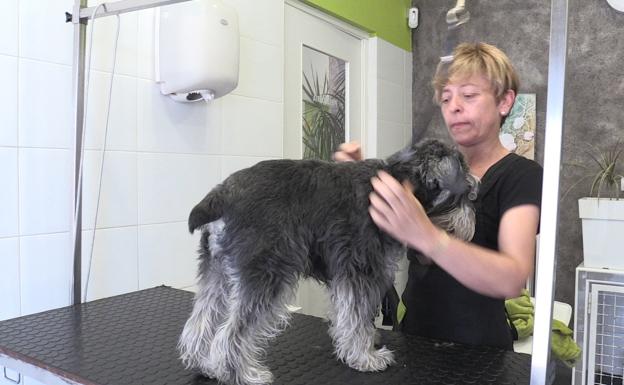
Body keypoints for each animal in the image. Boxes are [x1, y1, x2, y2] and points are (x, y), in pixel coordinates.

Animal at [178, 138, 480, 384]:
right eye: (466, 193)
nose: (470, 226)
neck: (398, 183)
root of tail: (222, 196)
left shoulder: (347, 275)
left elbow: (349, 316)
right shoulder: (361, 272)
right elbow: (357, 317)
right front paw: (365, 358)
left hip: (217, 273)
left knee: (201, 320)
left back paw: (205, 365)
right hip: (266, 274)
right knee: (232, 333)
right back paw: (239, 373)